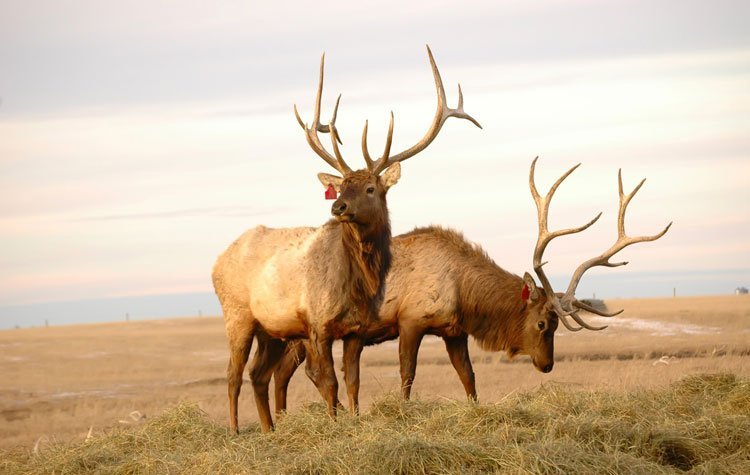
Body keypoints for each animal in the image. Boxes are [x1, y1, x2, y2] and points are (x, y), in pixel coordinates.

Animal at [211, 46, 481, 433]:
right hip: (237, 313)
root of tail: (216, 262)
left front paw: (353, 421)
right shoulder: (317, 324)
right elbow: (328, 381)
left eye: (370, 187)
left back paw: (268, 430)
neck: (356, 286)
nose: (337, 206)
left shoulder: (356, 330)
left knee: (257, 374)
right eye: (341, 187)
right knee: (233, 374)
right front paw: (334, 425)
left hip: (271, 329)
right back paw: (234, 431)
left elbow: (353, 381)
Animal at [273, 157, 671, 409]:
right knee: (304, 371)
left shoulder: (454, 331)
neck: (464, 293)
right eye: (544, 323)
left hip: (295, 334)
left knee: (281, 372)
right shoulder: (411, 320)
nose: (547, 366)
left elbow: (469, 377)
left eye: (558, 324)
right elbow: (407, 374)